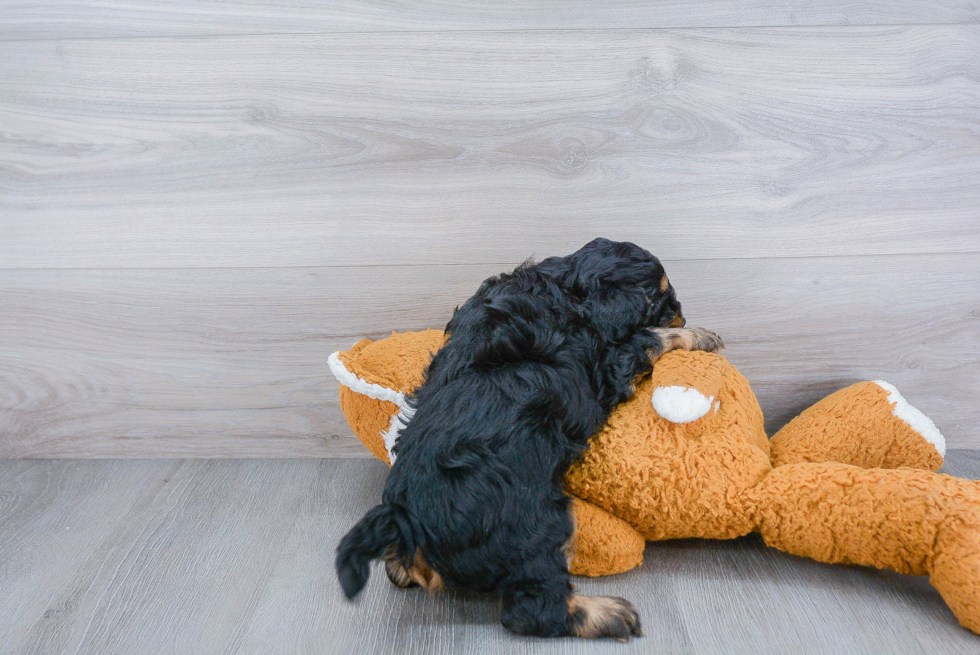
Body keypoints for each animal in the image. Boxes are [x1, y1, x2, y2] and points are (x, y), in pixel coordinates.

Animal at [334, 237, 720, 640]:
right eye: (660, 297)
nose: (683, 314)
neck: (565, 286)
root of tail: (408, 521)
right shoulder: (613, 364)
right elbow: (649, 338)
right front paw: (702, 335)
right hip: (541, 525)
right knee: (532, 609)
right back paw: (611, 613)